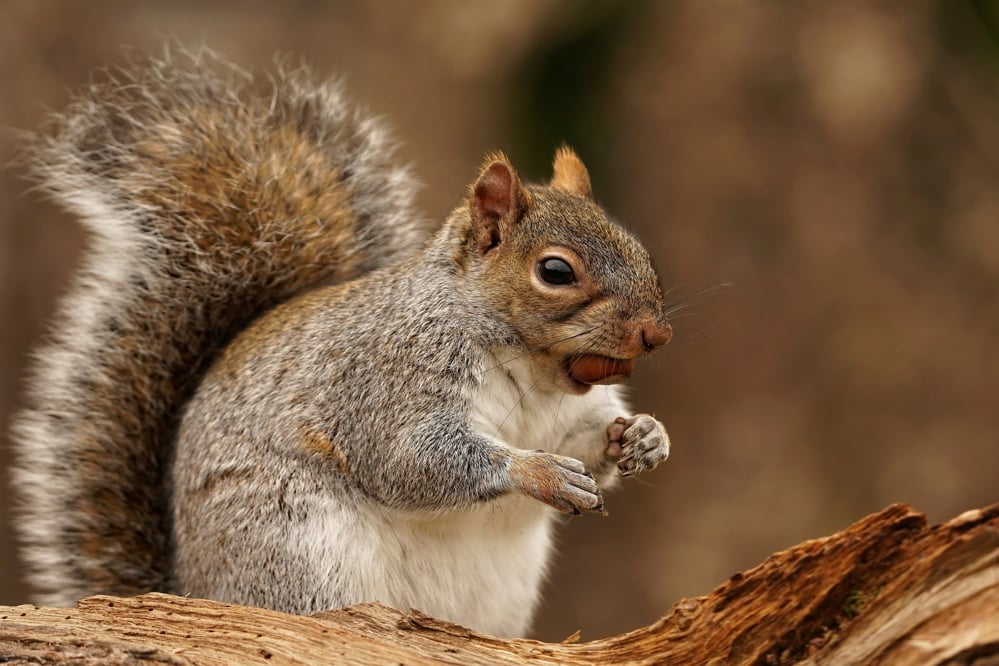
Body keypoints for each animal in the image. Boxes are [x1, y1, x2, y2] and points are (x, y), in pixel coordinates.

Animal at [11, 48, 672, 640]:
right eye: (555, 272)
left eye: (638, 248)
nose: (657, 333)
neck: (535, 371)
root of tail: (195, 592)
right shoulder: (388, 378)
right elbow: (412, 459)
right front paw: (538, 472)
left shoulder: (568, 413)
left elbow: (587, 439)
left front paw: (642, 436)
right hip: (297, 548)